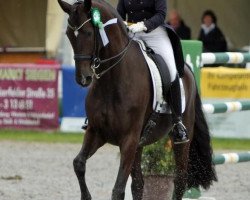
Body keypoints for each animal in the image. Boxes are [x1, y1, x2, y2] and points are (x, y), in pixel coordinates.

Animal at [57, 0, 216, 200]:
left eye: (88, 33)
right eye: (68, 34)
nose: (83, 78)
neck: (113, 80)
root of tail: (187, 69)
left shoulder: (128, 140)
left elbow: (118, 189)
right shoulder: (96, 132)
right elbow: (78, 164)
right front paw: (86, 196)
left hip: (181, 142)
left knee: (179, 181)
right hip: (140, 143)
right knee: (139, 184)